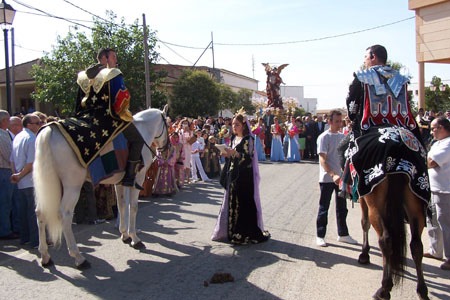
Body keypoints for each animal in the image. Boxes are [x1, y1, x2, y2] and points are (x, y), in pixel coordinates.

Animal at [32, 105, 168, 268]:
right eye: (168, 124)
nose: (166, 150)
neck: (143, 131)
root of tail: (49, 130)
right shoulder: (138, 178)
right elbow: (133, 207)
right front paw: (135, 239)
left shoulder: (120, 181)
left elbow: (122, 205)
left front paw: (125, 235)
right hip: (72, 186)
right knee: (65, 214)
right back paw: (79, 257)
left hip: (51, 185)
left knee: (40, 213)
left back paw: (45, 256)